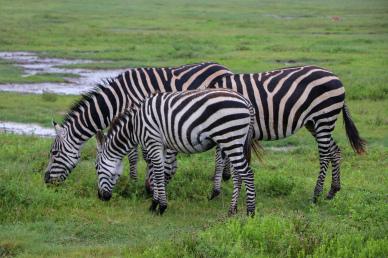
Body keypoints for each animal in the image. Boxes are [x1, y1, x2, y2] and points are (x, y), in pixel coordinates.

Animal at [44, 62, 232, 183]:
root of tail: (223, 67)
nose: (45, 180)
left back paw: (223, 177)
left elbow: (139, 156)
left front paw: (139, 181)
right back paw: (225, 176)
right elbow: (132, 154)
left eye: (54, 153)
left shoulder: (140, 120)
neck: (118, 100)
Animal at [94, 89, 258, 216]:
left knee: (247, 173)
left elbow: (158, 173)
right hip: (236, 141)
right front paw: (154, 204)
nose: (101, 197)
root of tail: (246, 101)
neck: (134, 126)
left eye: (96, 168)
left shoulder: (152, 141)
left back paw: (250, 212)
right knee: (238, 175)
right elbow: (157, 173)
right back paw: (232, 210)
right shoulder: (161, 145)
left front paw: (161, 207)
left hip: (229, 138)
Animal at [208, 64, 366, 202]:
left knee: (325, 155)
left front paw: (216, 190)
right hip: (313, 123)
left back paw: (316, 195)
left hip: (324, 118)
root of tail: (334, 76)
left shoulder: (224, 126)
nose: (226, 177)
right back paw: (333, 190)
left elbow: (219, 158)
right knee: (335, 150)